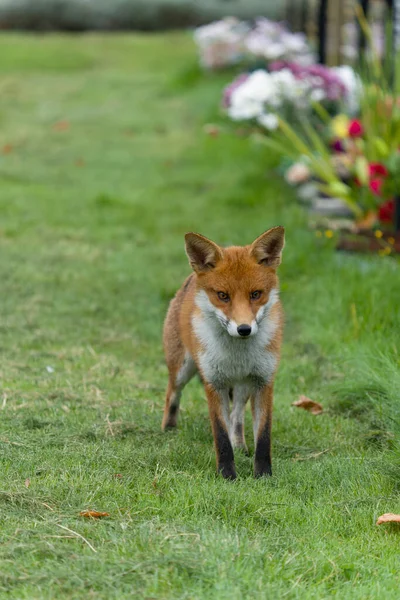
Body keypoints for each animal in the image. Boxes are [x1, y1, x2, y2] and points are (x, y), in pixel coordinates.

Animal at [162, 227, 284, 480]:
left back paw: (241, 445)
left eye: (255, 294)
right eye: (223, 295)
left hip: (244, 386)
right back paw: (167, 429)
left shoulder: (263, 381)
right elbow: (220, 435)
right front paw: (227, 475)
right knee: (172, 395)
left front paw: (263, 475)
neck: (237, 355)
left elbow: (263, 436)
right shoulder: (214, 383)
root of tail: (190, 280)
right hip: (182, 369)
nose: (244, 329)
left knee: (236, 417)